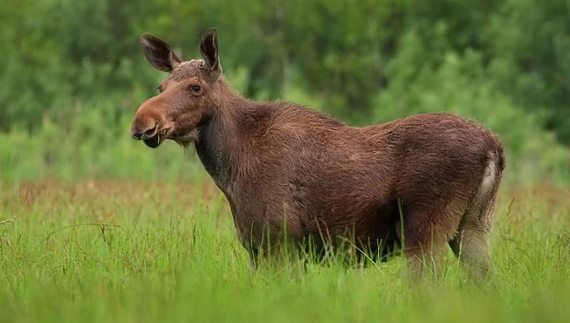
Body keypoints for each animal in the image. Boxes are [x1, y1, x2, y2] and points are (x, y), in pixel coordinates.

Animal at [131, 28, 504, 280]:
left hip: (426, 231)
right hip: (474, 226)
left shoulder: (280, 242)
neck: (230, 168)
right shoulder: (258, 247)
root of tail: (495, 149)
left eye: (196, 87)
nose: (142, 123)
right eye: (161, 87)